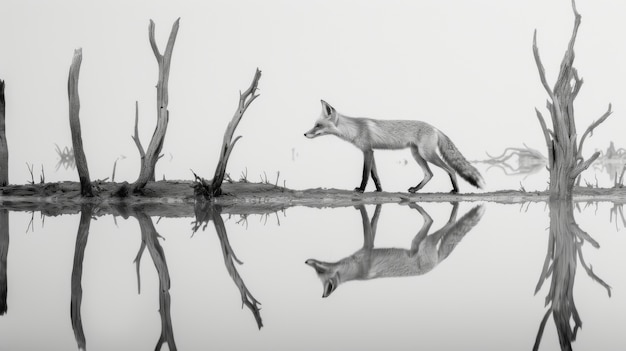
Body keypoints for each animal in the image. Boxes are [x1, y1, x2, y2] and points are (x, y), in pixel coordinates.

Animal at [302, 99, 482, 194]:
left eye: (318, 125)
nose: (304, 134)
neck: (355, 128)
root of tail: (435, 127)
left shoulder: (367, 151)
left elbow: (365, 174)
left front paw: (361, 190)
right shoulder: (371, 152)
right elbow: (375, 175)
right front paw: (379, 190)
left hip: (427, 154)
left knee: (451, 170)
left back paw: (456, 190)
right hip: (416, 154)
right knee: (429, 174)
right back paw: (415, 190)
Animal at [302, 202, 482, 298]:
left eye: (319, 270)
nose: (307, 261)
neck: (356, 269)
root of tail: (437, 264)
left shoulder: (367, 248)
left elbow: (366, 222)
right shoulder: (368, 246)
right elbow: (373, 222)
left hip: (425, 242)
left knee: (445, 223)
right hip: (417, 242)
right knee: (433, 222)